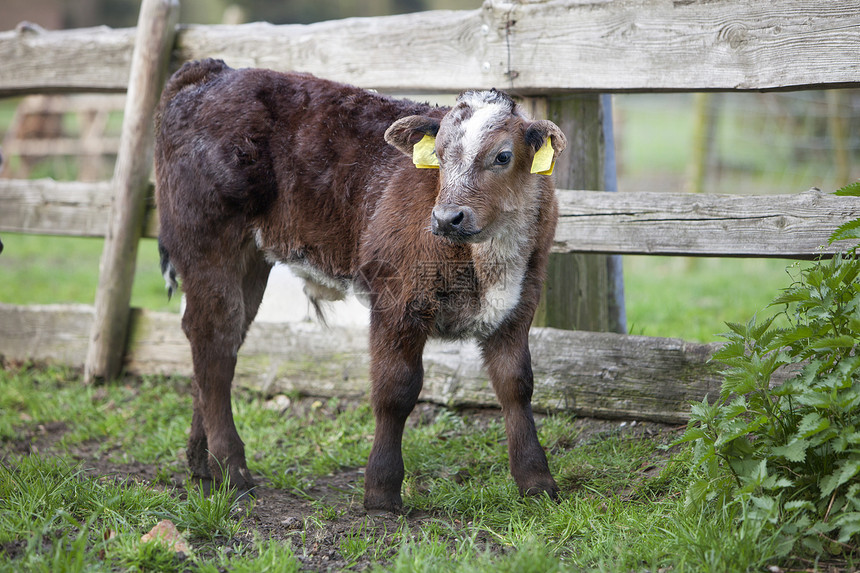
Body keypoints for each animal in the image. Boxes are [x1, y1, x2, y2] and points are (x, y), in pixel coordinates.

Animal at [155, 58, 568, 510]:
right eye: (439, 157)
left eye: (503, 156)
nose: (446, 218)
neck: (487, 260)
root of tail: (215, 71)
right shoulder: (396, 299)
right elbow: (395, 389)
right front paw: (382, 492)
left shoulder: (520, 302)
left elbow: (517, 385)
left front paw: (537, 481)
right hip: (207, 243)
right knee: (213, 340)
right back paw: (232, 470)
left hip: (248, 258)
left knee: (223, 344)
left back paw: (203, 465)